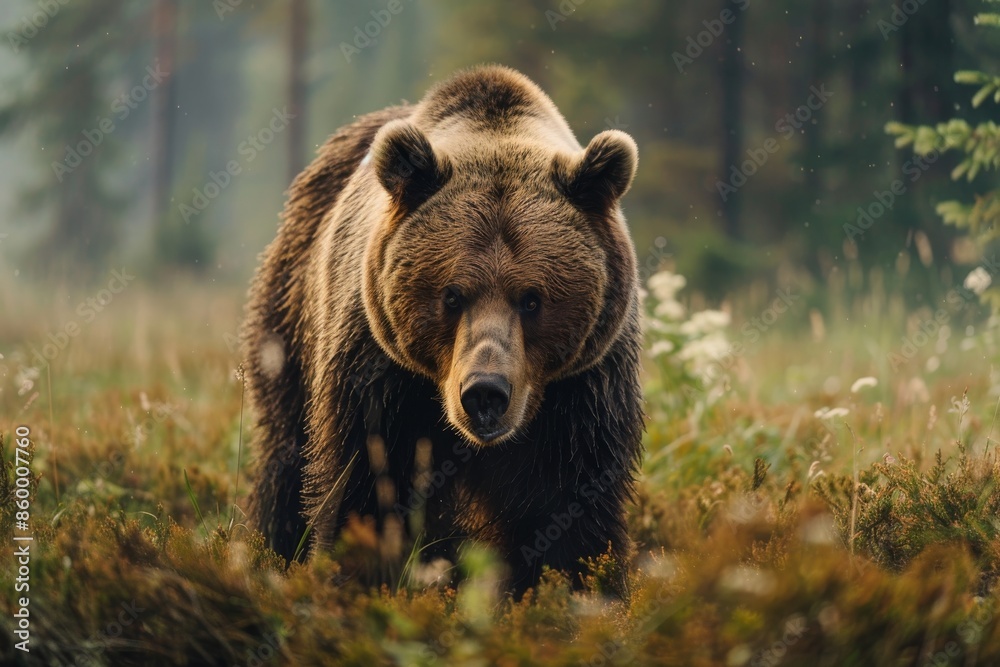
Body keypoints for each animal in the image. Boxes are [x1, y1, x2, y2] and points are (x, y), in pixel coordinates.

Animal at [242, 65, 644, 597]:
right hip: (290, 314)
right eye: (452, 295)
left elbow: (567, 508)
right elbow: (366, 486)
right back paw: (272, 550)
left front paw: (572, 587)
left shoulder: (582, 391)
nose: (485, 393)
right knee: (284, 454)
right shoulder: (380, 375)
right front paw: (359, 577)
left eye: (532, 299)